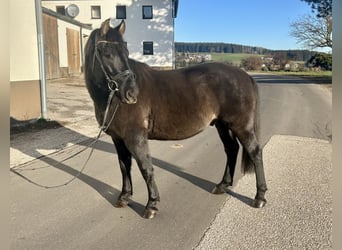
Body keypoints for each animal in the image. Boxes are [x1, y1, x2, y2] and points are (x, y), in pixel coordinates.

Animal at [85, 20, 268, 219]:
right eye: (107, 54)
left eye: (126, 53)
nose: (131, 94)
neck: (112, 98)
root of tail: (245, 75)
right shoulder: (118, 138)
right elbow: (124, 165)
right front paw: (124, 197)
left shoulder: (136, 137)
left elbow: (145, 168)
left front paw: (151, 205)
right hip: (222, 125)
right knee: (232, 149)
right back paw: (222, 186)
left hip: (241, 126)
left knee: (255, 152)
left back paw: (259, 197)